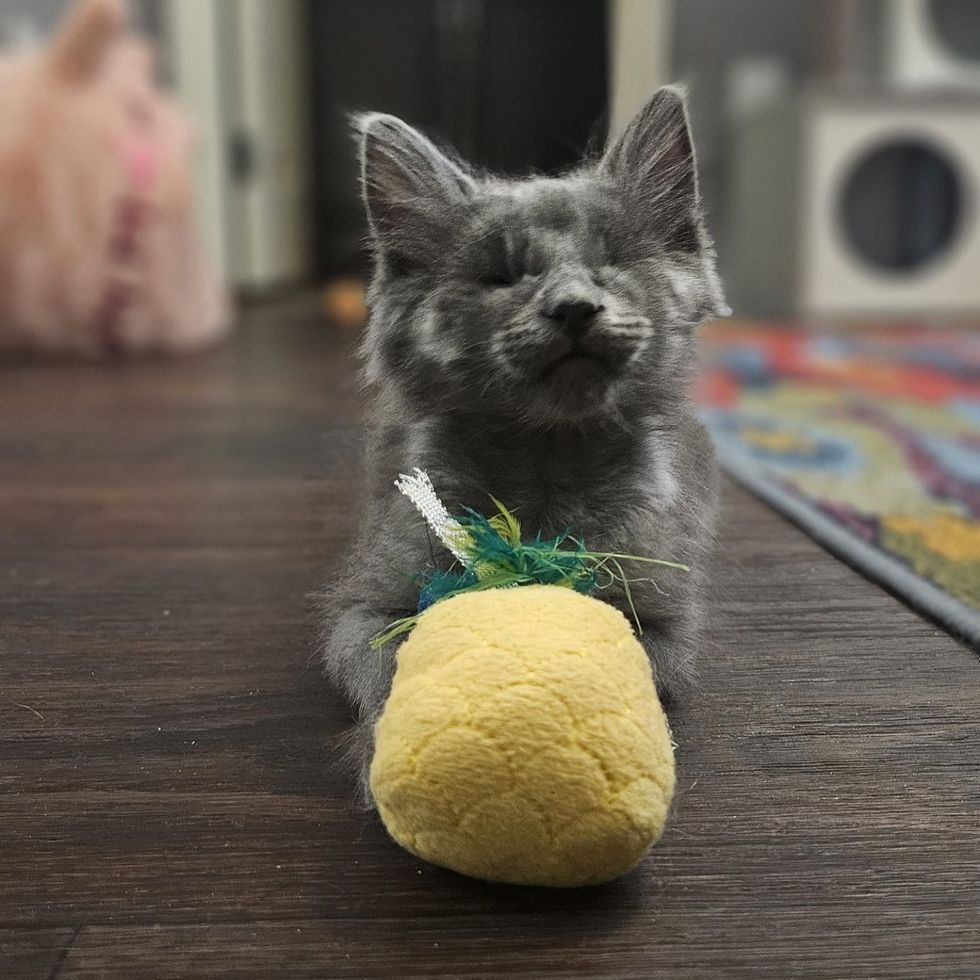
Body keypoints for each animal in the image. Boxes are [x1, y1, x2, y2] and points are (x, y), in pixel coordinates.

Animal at [322, 86, 728, 796]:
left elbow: (635, 660)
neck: (546, 467)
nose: (573, 306)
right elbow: (383, 666)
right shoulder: (365, 605)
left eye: (611, 264)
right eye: (503, 277)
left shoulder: (664, 617)